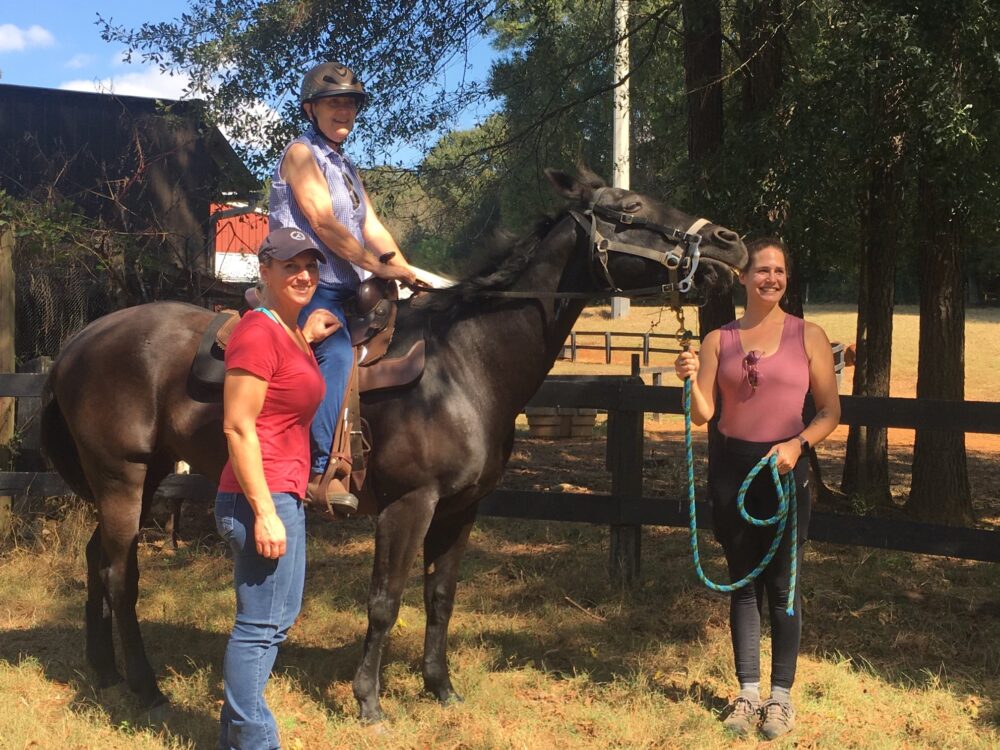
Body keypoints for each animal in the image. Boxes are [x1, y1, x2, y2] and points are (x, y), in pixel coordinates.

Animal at [41, 169, 744, 724]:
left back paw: (104, 673)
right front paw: (369, 700)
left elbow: (440, 597)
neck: (462, 363)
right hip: (124, 478)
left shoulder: (461, 508)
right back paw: (145, 687)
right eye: (627, 206)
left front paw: (440, 688)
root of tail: (80, 342)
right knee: (120, 574)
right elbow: (385, 601)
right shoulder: (410, 505)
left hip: (136, 480)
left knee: (97, 561)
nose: (730, 242)